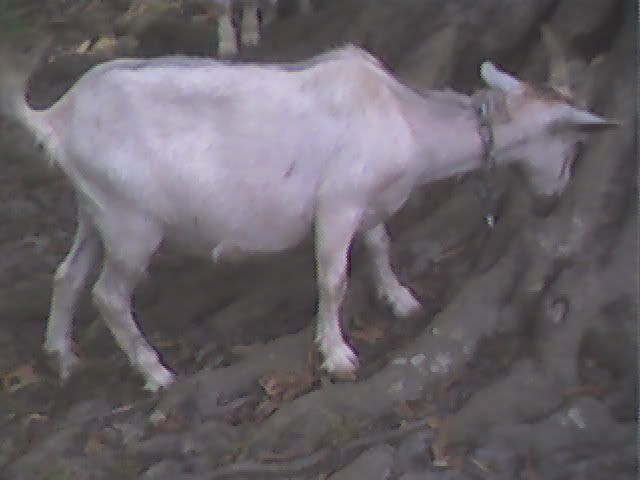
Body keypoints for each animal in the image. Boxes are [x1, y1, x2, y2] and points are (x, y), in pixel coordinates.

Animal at [0, 42, 615, 391]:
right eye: (572, 147)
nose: (553, 199)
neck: (405, 120)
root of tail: (59, 117)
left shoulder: (368, 199)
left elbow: (380, 245)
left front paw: (401, 300)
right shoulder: (338, 201)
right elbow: (334, 277)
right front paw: (338, 356)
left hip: (95, 208)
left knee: (68, 274)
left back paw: (62, 358)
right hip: (133, 221)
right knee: (108, 294)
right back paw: (155, 373)